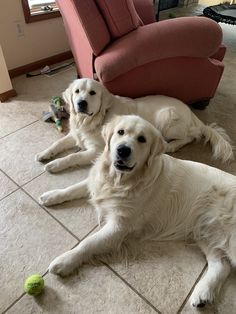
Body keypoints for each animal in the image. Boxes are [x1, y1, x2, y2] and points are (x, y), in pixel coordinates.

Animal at [36, 78, 233, 172]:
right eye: (77, 91)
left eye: (92, 93)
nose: (81, 103)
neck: (93, 119)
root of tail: (191, 112)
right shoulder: (76, 134)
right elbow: (58, 143)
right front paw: (44, 154)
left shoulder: (96, 150)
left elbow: (73, 156)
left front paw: (54, 165)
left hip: (166, 116)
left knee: (190, 136)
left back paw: (172, 145)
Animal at [46, 114, 236, 306]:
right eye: (120, 132)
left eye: (142, 139)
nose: (123, 150)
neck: (121, 181)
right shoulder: (97, 184)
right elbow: (73, 188)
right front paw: (51, 196)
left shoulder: (119, 227)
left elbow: (88, 243)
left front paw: (65, 261)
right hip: (204, 232)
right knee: (222, 265)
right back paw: (203, 293)